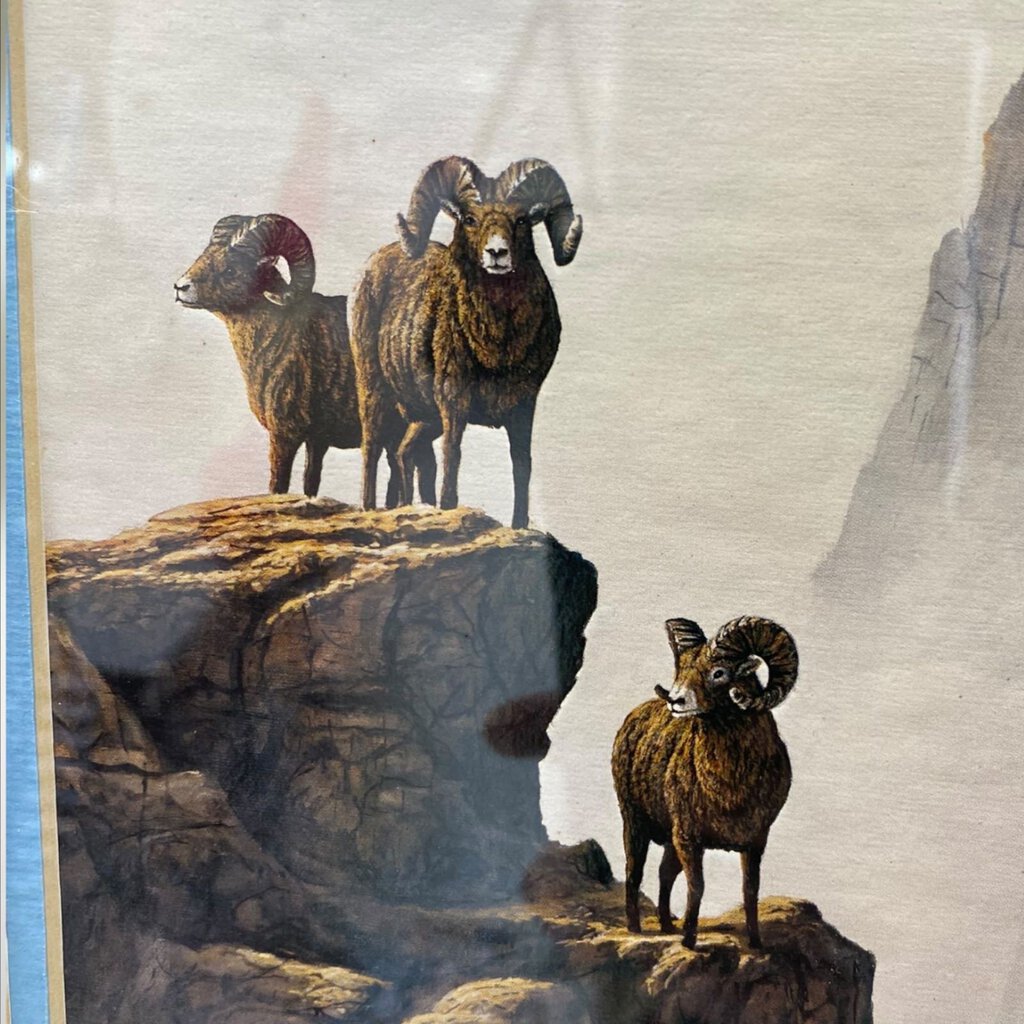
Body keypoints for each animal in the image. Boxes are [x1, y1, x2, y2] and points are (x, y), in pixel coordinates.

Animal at [174, 213, 435, 503]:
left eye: (231, 269)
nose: (181, 287)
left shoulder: (284, 437)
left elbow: (279, 486)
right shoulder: (316, 441)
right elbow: (310, 483)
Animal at [350, 156, 583, 528]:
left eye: (520, 220)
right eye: (470, 219)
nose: (497, 253)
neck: (498, 347)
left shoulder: (524, 406)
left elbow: (522, 464)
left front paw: (519, 524)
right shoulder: (453, 401)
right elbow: (453, 457)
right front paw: (447, 508)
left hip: (423, 418)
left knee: (404, 452)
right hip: (373, 390)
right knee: (371, 450)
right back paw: (370, 509)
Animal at [611, 615, 798, 949]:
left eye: (719, 672)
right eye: (680, 668)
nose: (676, 701)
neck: (730, 788)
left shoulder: (755, 842)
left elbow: (750, 890)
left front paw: (755, 942)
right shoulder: (689, 839)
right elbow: (696, 887)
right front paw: (688, 941)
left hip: (668, 840)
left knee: (664, 874)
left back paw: (666, 926)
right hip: (634, 823)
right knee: (634, 872)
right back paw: (636, 928)